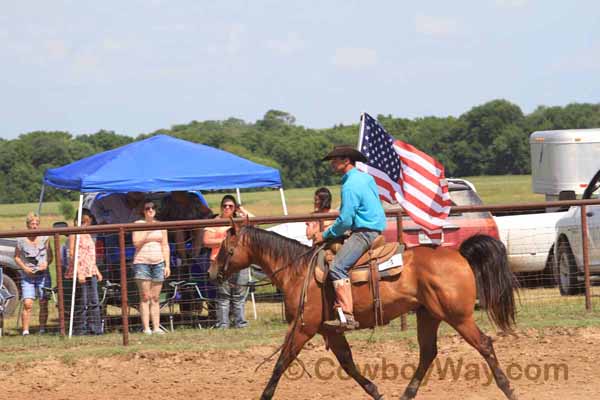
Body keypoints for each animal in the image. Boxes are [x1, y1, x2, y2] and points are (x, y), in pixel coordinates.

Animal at [209, 225, 516, 400]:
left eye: (225, 249)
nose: (212, 272)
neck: (298, 271)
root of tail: (460, 254)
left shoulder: (304, 327)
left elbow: (282, 361)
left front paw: (264, 395)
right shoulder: (329, 330)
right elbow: (347, 362)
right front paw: (376, 392)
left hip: (457, 317)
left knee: (484, 344)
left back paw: (508, 388)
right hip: (428, 315)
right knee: (428, 353)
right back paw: (406, 395)